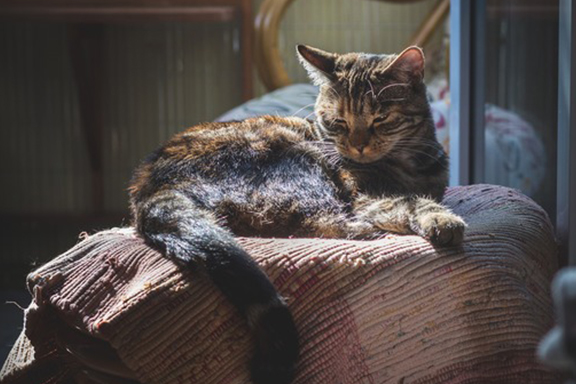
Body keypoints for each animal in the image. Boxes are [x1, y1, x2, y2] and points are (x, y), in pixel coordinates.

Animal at [128, 44, 466, 384]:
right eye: (338, 121)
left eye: (380, 118)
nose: (357, 147)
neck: (411, 163)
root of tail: (151, 188)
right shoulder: (364, 194)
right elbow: (409, 201)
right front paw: (441, 219)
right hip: (299, 160)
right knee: (315, 221)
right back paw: (367, 231)